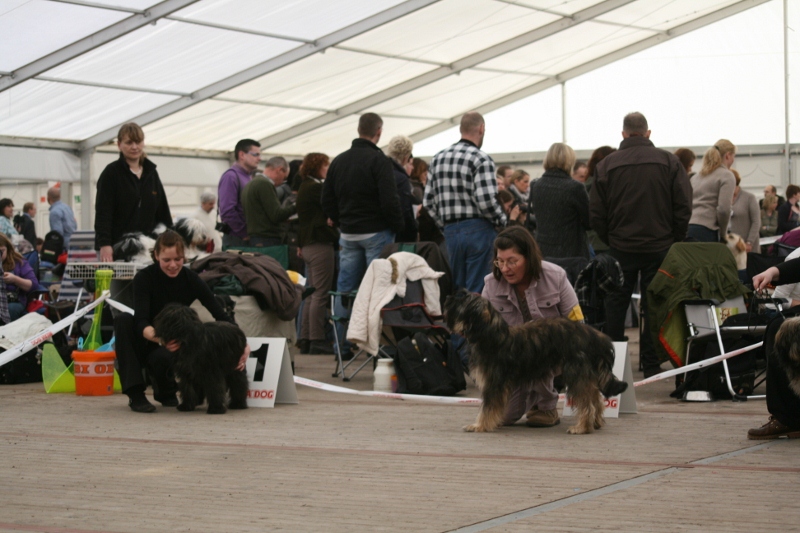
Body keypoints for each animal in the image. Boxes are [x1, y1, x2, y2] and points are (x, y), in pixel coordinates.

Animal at [444, 288, 624, 434]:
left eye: (461, 301)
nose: (447, 298)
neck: (489, 334)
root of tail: (594, 336)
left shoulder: (493, 383)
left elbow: (487, 407)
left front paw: (479, 425)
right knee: (596, 398)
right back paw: (596, 422)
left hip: (577, 373)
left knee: (587, 402)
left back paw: (582, 427)